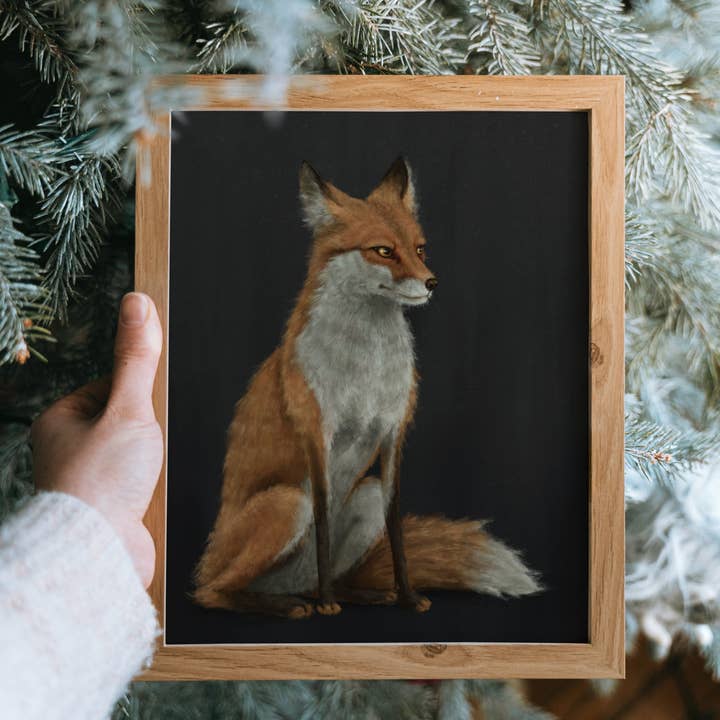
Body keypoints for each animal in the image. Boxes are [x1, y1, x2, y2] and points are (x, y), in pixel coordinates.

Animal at [193, 157, 541, 619]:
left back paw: (356, 594)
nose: (432, 282)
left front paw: (407, 596)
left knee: (326, 576)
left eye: (420, 249)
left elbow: (396, 531)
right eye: (383, 251)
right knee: (212, 592)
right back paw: (291, 604)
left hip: (366, 495)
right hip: (287, 503)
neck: (367, 368)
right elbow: (322, 522)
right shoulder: (317, 434)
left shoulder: (393, 433)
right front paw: (328, 605)